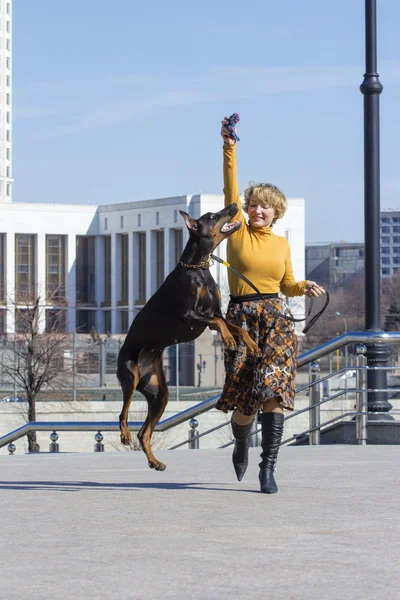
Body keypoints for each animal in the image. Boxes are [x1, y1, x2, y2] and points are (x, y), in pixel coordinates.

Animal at [116, 204, 260, 472]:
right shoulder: (189, 315)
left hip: (159, 394)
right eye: (212, 216)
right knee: (124, 413)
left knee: (144, 432)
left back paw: (155, 462)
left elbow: (236, 327)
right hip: (130, 376)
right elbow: (219, 325)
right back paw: (124, 434)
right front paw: (229, 340)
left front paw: (251, 344)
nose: (234, 206)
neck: (198, 268)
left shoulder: (215, 313)